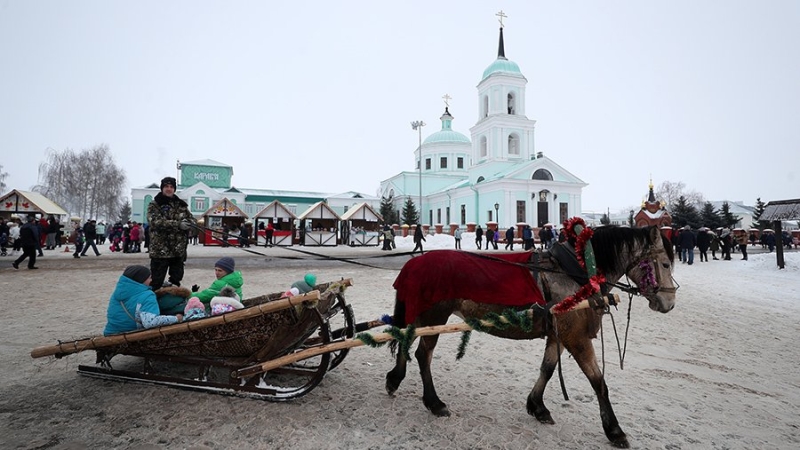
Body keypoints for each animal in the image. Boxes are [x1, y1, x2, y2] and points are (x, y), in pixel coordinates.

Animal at [386, 223, 676, 448]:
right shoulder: (577, 338)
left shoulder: (559, 335)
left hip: (423, 316)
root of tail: (414, 262)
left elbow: (547, 368)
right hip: (434, 317)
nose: (670, 303)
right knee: (423, 355)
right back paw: (433, 402)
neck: (576, 270)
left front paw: (537, 406)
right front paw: (614, 430)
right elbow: (598, 382)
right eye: (665, 263)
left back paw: (395, 378)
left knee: (404, 339)